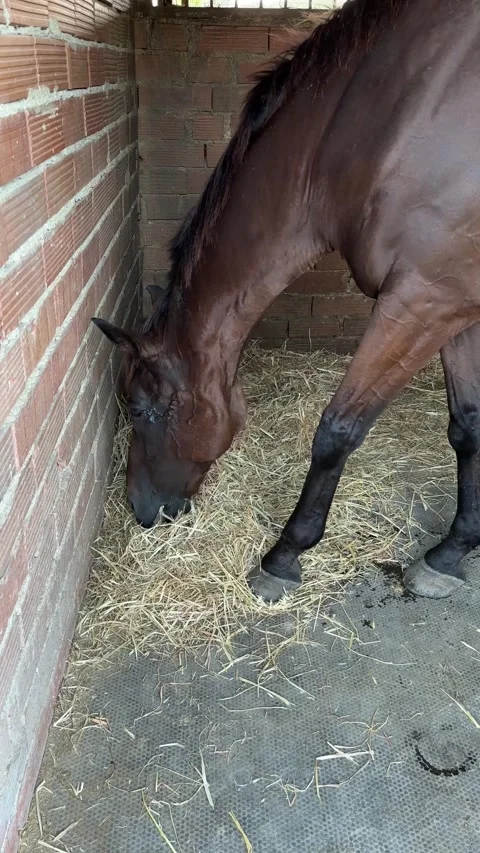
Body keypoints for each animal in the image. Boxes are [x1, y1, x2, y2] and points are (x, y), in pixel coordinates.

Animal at [93, 0, 480, 604]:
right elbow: (468, 426)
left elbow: (336, 432)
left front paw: (284, 555)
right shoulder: (455, 307)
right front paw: (452, 550)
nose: (141, 510)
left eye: (138, 409)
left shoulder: (423, 301)